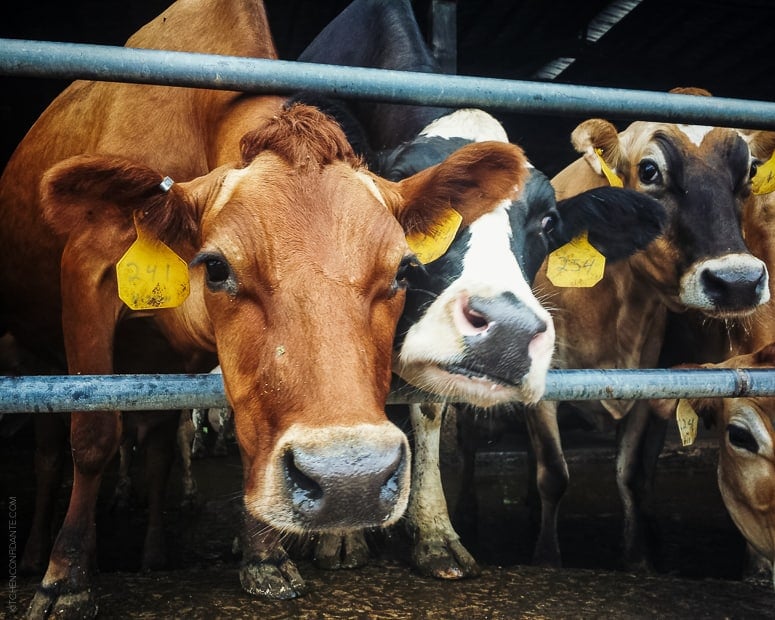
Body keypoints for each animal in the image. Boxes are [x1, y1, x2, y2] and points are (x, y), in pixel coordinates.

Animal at [0, 2, 536, 615]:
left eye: (404, 268)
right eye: (215, 267)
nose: (349, 477)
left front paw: (263, 555)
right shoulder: (85, 270)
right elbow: (91, 436)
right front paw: (66, 579)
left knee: (157, 445)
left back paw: (155, 551)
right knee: (52, 452)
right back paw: (39, 550)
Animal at [525, 88, 770, 571]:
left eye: (750, 170)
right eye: (650, 170)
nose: (738, 282)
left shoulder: (651, 382)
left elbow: (633, 477)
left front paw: (640, 559)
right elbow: (553, 475)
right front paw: (545, 559)